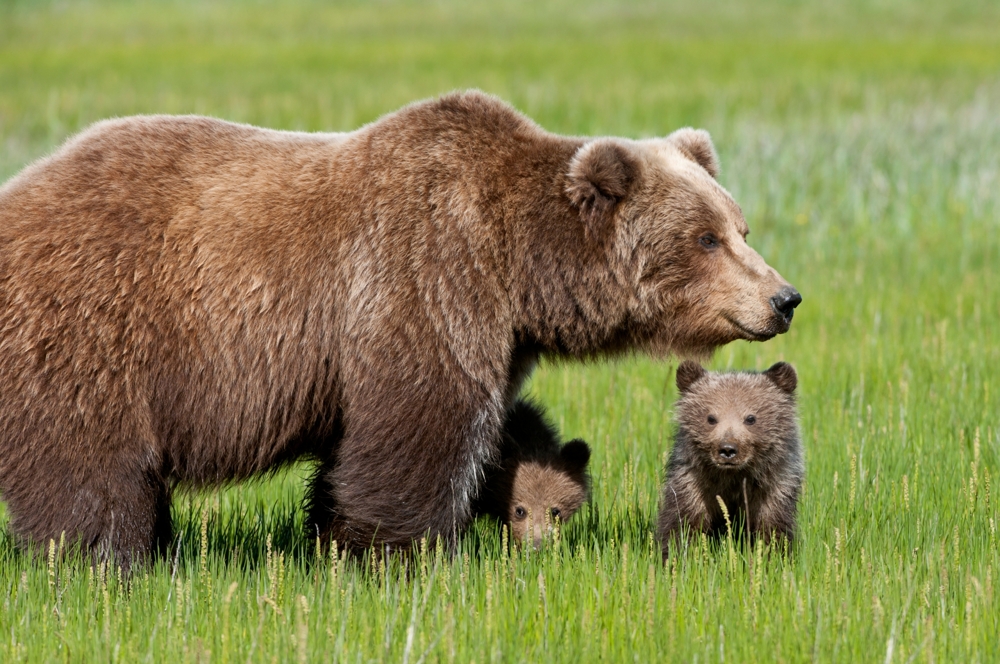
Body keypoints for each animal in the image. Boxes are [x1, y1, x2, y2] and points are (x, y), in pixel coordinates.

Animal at [656, 358, 804, 556]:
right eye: (711, 418)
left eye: (751, 418)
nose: (727, 449)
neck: (732, 477)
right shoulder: (693, 483)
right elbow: (683, 523)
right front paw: (675, 554)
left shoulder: (774, 486)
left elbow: (772, 528)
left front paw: (772, 554)